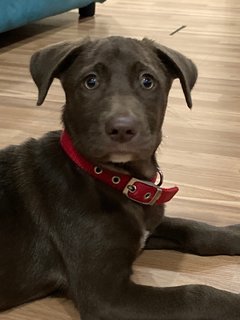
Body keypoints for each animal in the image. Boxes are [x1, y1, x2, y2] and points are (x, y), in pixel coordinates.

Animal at [0, 36, 240, 318]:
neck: (113, 179)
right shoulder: (107, 296)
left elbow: (193, 228)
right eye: (90, 81)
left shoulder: (147, 228)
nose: (123, 128)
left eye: (147, 81)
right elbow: (194, 295)